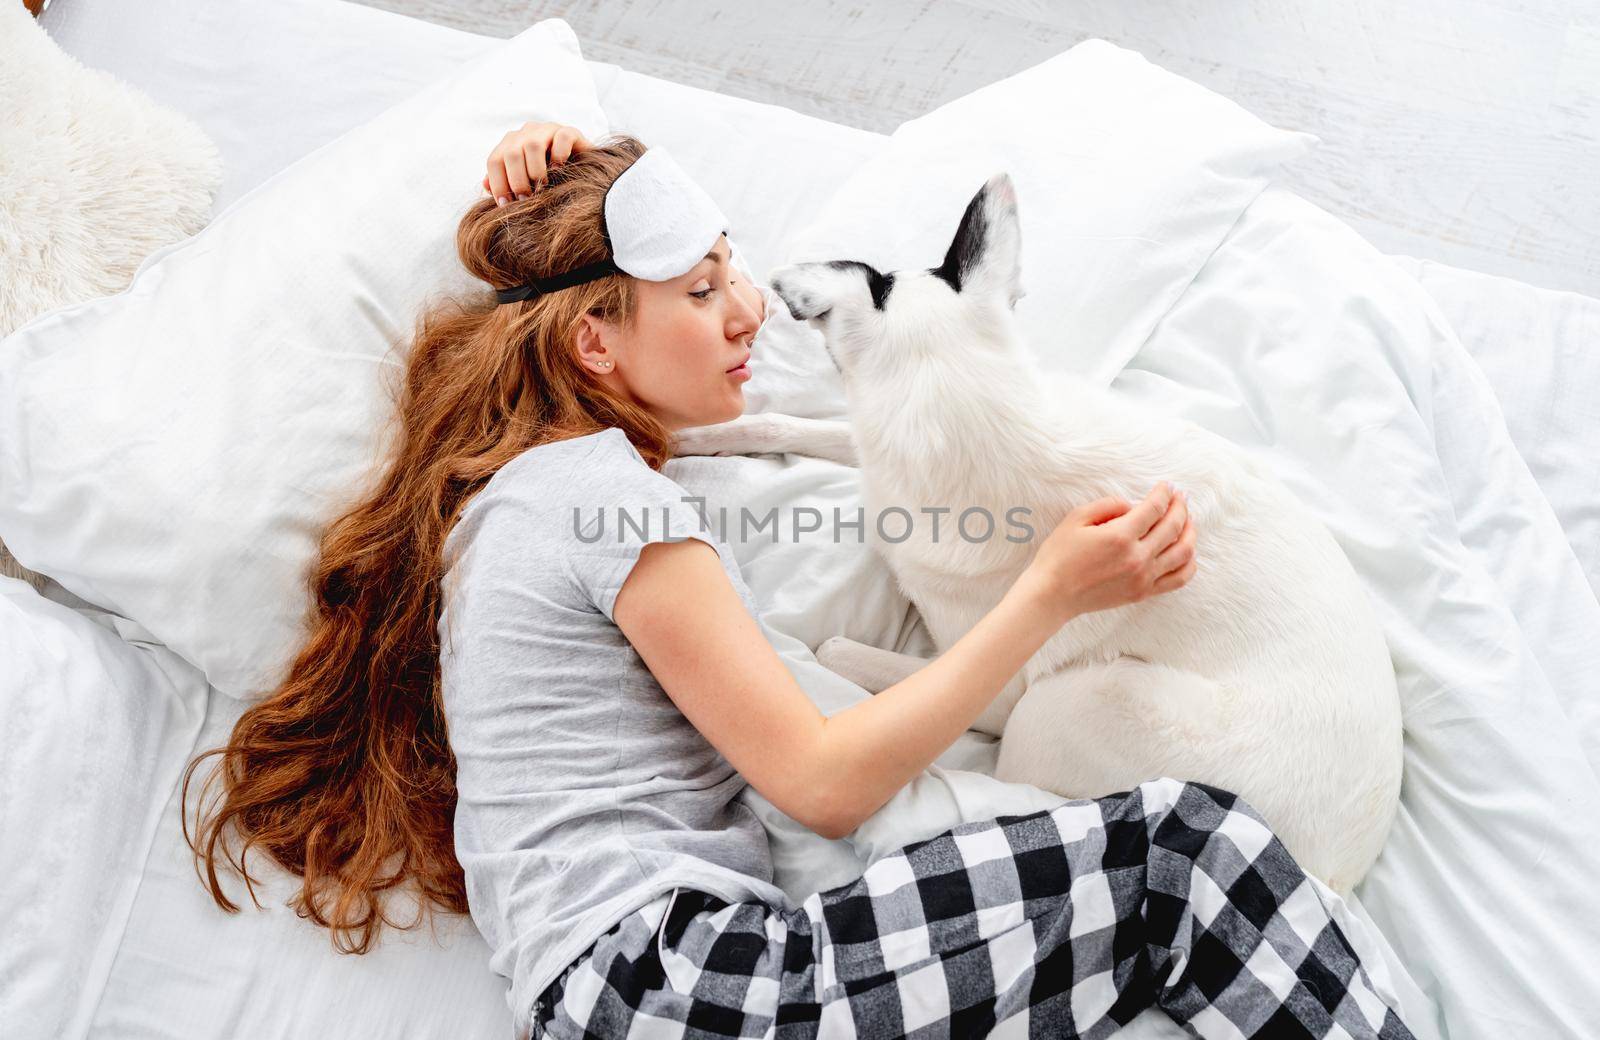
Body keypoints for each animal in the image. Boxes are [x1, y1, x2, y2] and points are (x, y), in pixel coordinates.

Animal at [736, 172, 1401, 889]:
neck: (999, 427)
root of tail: (1327, 877)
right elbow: (792, 426)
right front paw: (704, 436)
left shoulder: (991, 688)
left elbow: (838, 650)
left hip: (1068, 706)